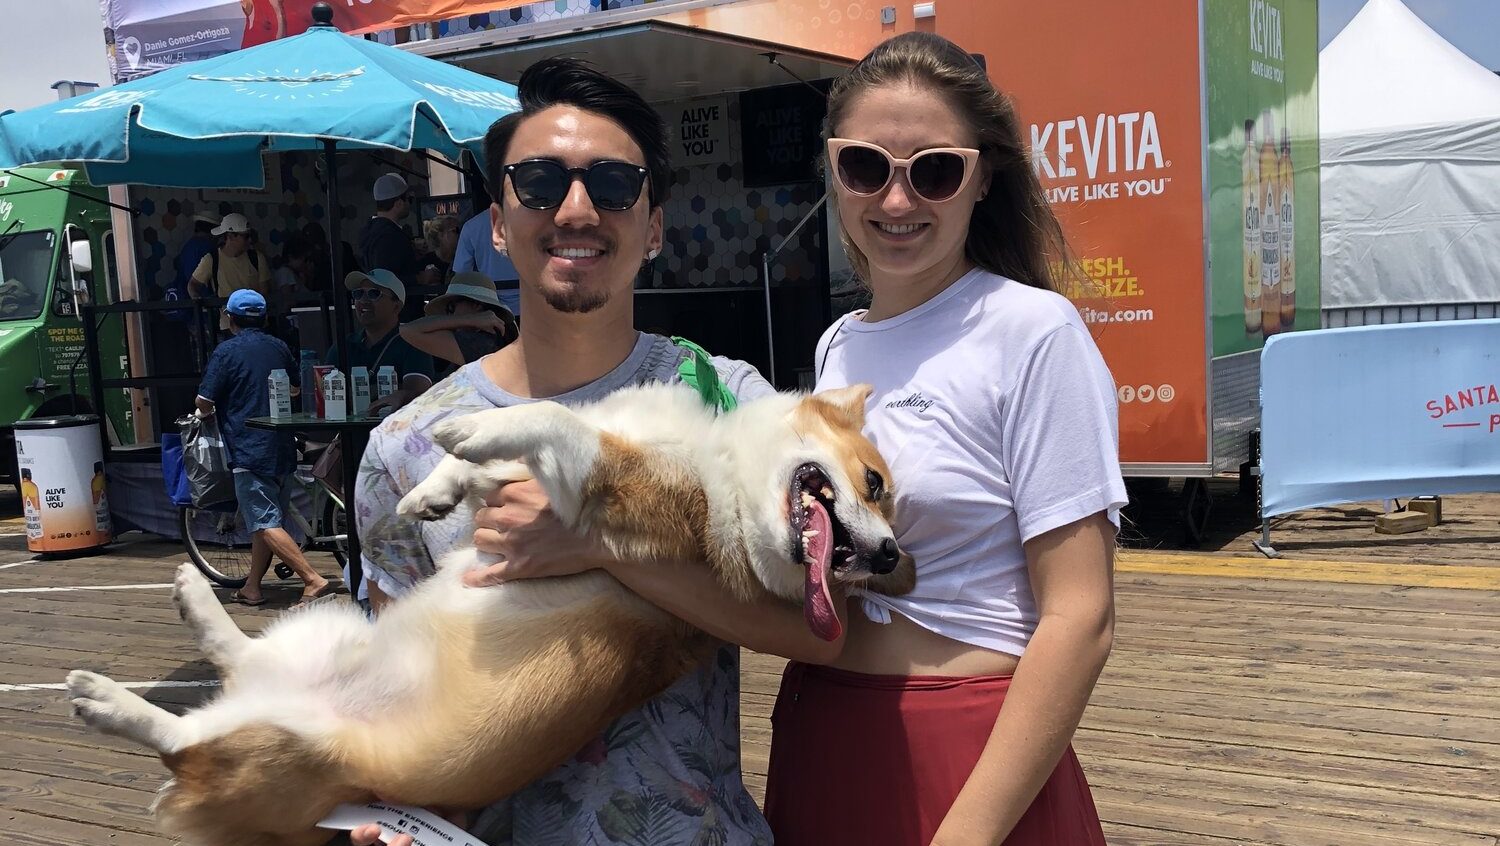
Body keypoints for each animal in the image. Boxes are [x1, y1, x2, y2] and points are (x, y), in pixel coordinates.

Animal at [64, 384, 912, 846]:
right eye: (876, 483)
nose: (886, 556)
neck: (720, 462)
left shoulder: (609, 489)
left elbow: (553, 423)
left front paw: (474, 431)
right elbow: (491, 468)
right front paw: (436, 489)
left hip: (283, 747)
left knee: (186, 745)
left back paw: (103, 698)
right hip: (327, 627)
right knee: (238, 659)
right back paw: (193, 597)